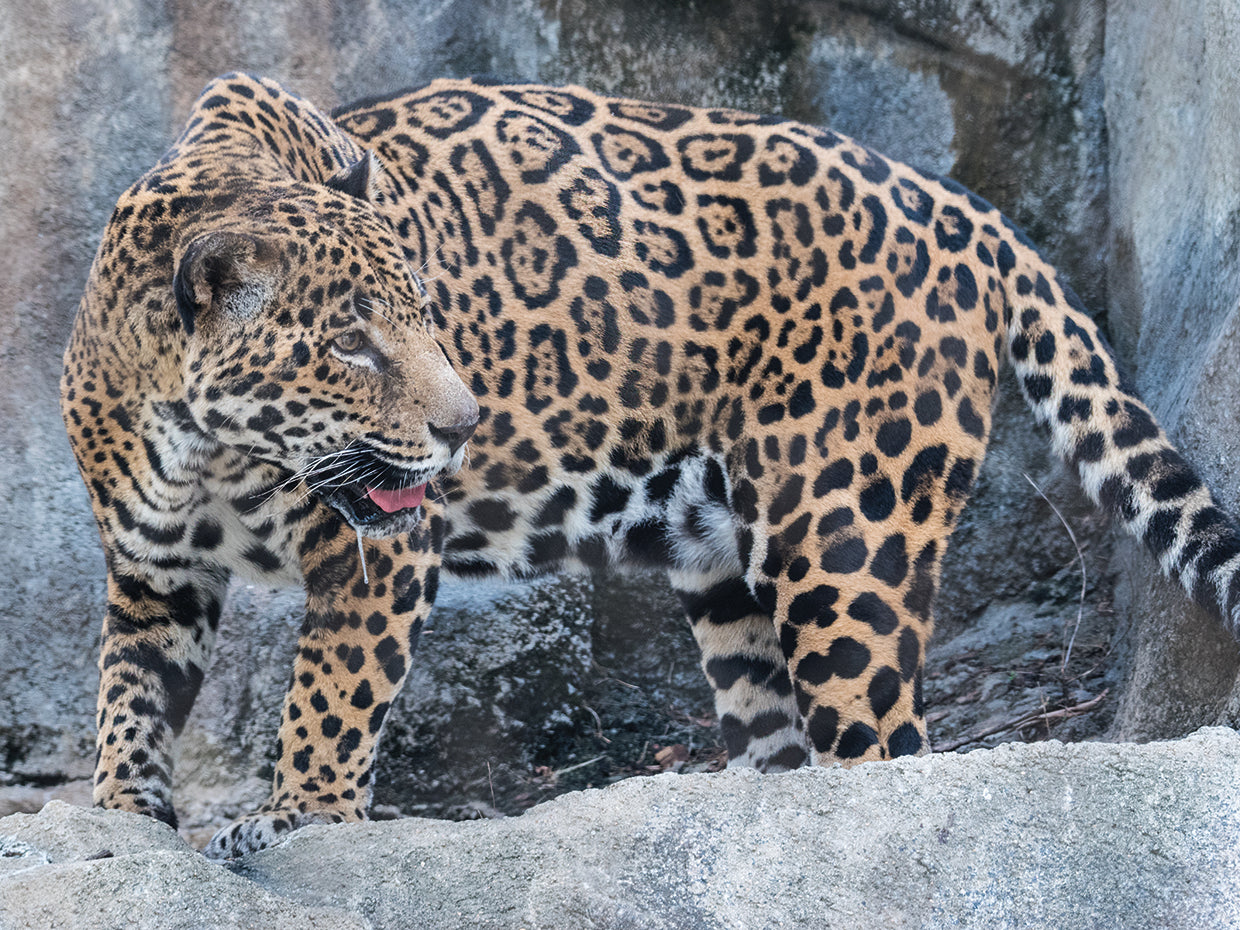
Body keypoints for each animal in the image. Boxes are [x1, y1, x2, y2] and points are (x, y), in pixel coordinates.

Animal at [60, 72, 1240, 859]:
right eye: (351, 343)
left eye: (428, 315)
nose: (463, 424)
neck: (213, 448)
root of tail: (968, 212)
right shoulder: (153, 568)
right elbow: (131, 693)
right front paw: (123, 819)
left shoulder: (379, 557)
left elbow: (331, 695)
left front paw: (301, 820)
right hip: (727, 575)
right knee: (780, 743)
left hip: (847, 546)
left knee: (889, 754)